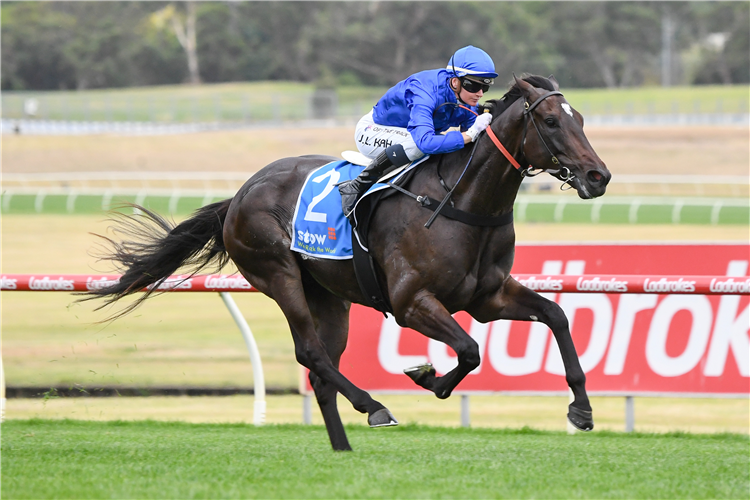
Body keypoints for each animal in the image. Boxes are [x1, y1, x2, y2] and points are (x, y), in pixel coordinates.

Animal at [86, 75, 612, 454]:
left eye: (582, 118)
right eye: (550, 121)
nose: (598, 176)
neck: (462, 201)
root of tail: (239, 195)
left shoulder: (488, 297)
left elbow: (555, 316)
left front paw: (582, 410)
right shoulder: (411, 302)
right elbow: (468, 349)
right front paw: (426, 376)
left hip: (329, 296)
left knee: (322, 374)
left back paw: (343, 446)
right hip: (278, 274)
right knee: (311, 354)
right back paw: (374, 406)